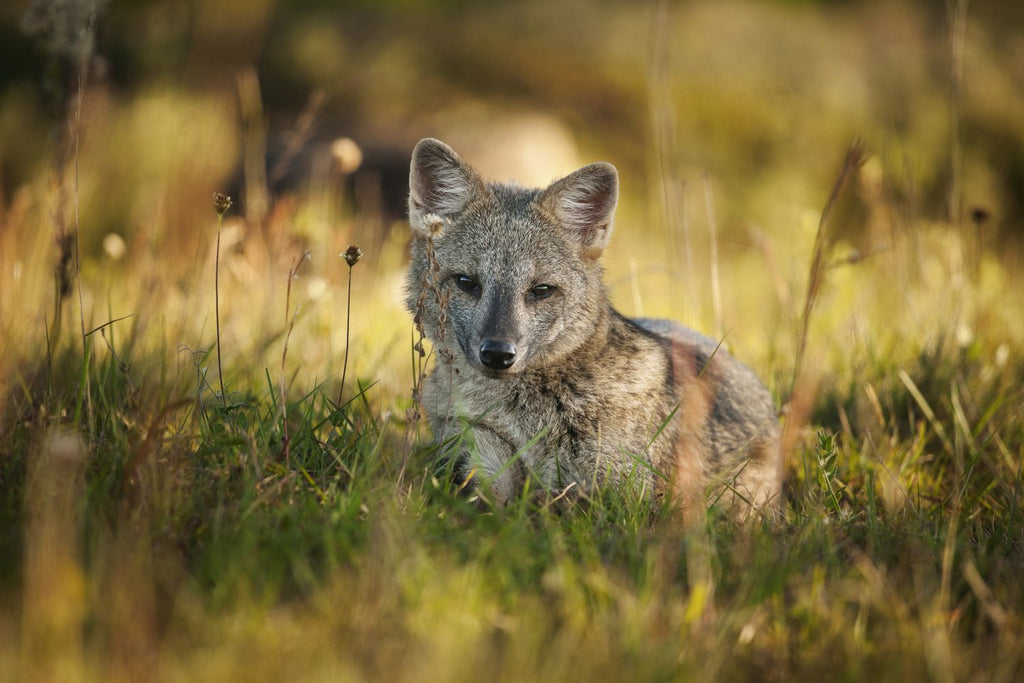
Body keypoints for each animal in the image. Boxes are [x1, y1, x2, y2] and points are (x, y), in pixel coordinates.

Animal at [405, 138, 782, 518]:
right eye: (467, 282)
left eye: (541, 290)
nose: (498, 354)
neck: (523, 421)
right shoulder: (476, 463)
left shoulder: (620, 496)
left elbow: (552, 504)